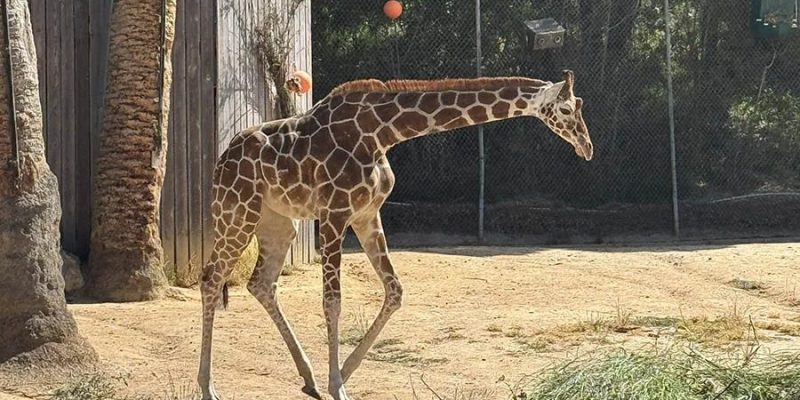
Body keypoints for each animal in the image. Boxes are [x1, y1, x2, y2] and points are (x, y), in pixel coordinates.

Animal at [197, 70, 593, 400]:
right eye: (567, 109)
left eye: (579, 107)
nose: (587, 147)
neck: (381, 133)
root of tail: (222, 158)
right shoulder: (334, 215)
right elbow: (332, 302)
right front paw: (338, 386)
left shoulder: (366, 215)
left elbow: (395, 291)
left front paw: (342, 373)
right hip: (237, 212)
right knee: (211, 278)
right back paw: (207, 387)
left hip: (278, 223)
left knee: (261, 283)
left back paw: (308, 379)